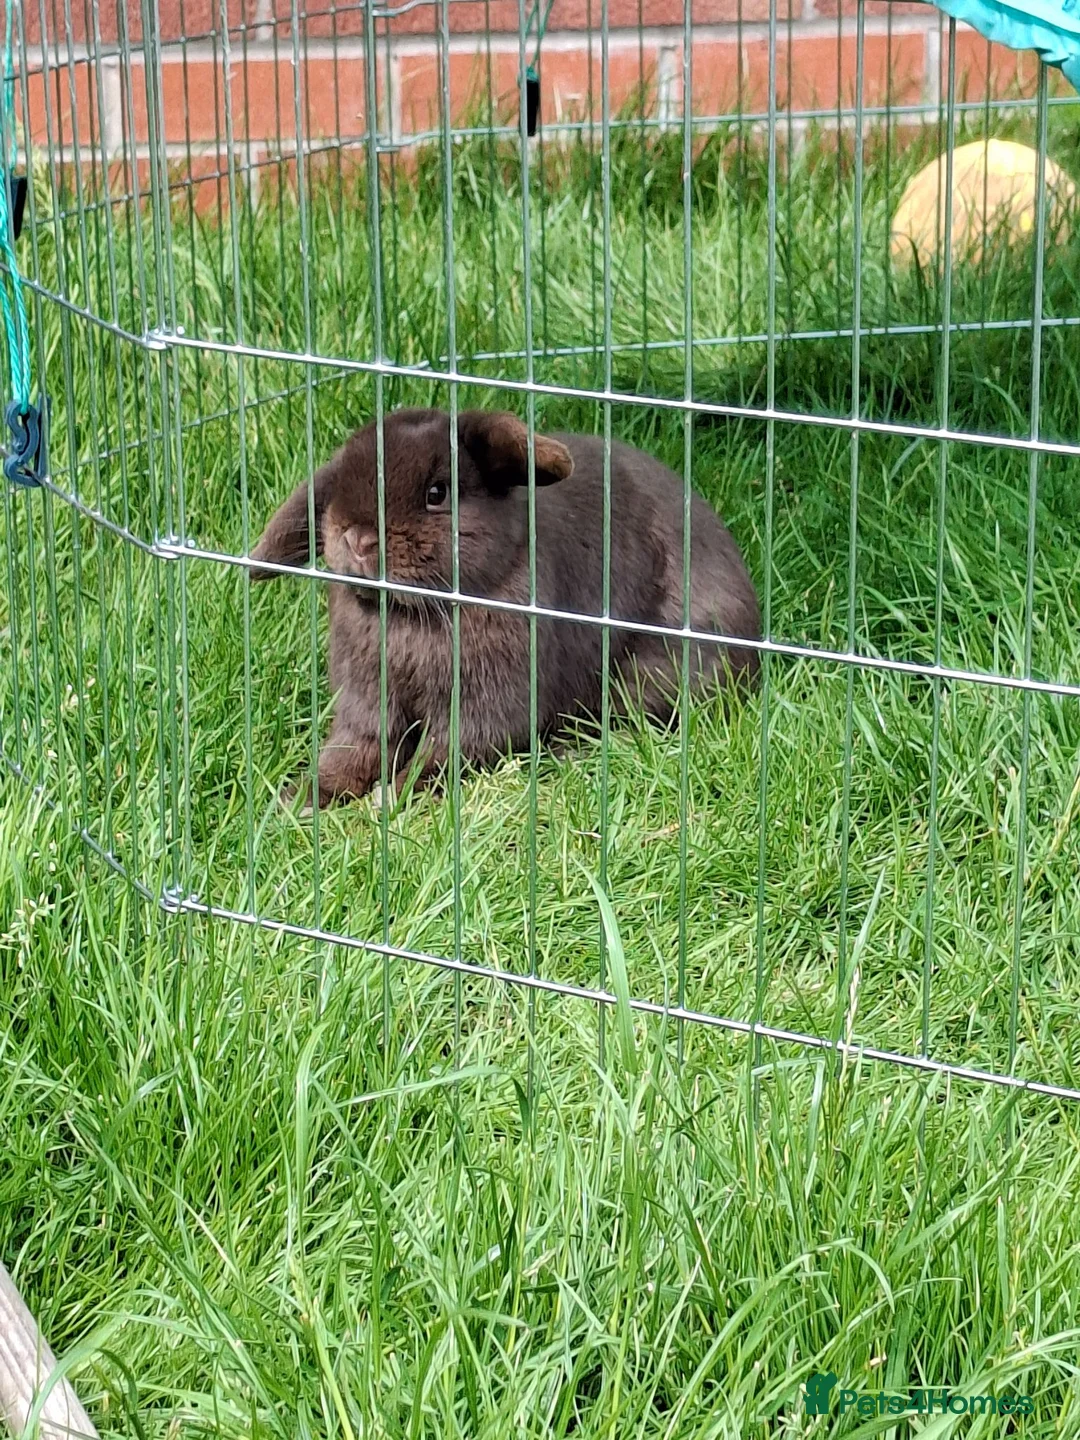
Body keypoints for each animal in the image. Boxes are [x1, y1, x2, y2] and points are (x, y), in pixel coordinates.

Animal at [250, 408, 761, 808]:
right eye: (338, 485)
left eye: (437, 493)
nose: (357, 539)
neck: (409, 616)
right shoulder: (366, 703)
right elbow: (353, 751)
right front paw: (299, 799)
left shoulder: (484, 707)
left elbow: (446, 754)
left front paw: (393, 796)